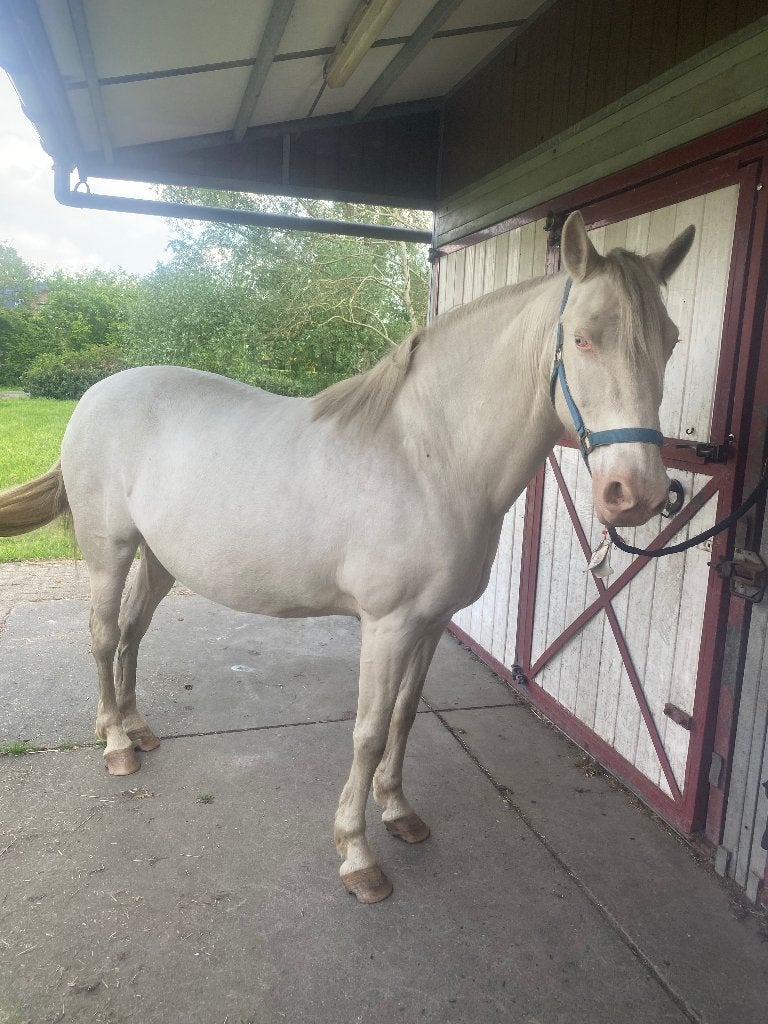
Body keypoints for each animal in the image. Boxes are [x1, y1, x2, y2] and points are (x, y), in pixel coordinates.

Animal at [0, 212, 695, 903]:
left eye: (671, 341)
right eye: (582, 339)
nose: (635, 492)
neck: (431, 459)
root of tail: (97, 393)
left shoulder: (431, 623)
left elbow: (405, 717)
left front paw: (399, 812)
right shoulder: (387, 626)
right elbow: (368, 730)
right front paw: (357, 855)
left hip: (161, 561)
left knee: (131, 632)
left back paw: (133, 725)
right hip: (110, 552)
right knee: (102, 634)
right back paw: (116, 744)